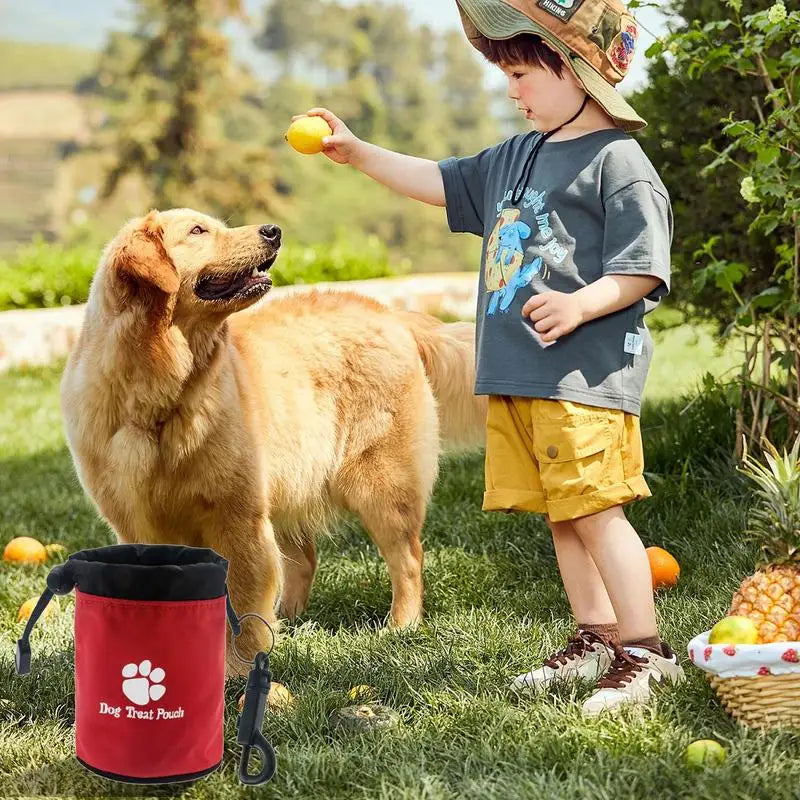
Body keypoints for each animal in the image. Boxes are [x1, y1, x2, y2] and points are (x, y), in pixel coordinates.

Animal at [59, 208, 484, 676]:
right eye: (198, 231)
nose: (273, 231)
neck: (160, 392)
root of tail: (392, 314)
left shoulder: (237, 517)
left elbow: (243, 601)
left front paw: (238, 669)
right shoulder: (140, 527)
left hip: (380, 486)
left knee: (407, 559)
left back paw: (400, 625)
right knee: (306, 561)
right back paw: (288, 623)